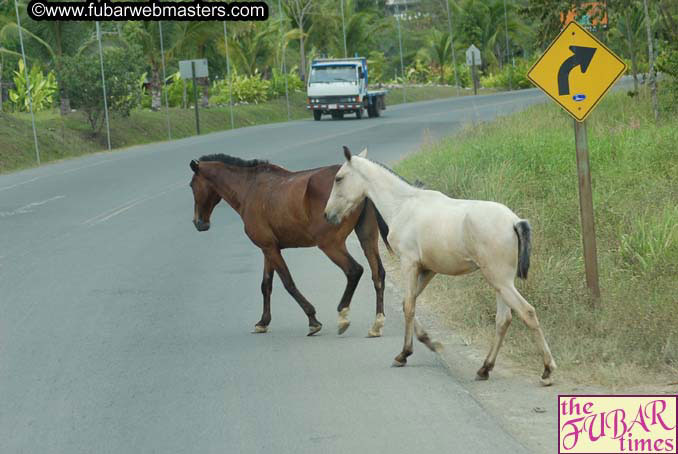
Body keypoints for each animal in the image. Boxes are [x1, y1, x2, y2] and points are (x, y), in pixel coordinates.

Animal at [189, 154, 388, 336]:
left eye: (192, 185)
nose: (199, 223)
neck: (250, 188)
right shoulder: (269, 249)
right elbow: (266, 285)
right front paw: (263, 322)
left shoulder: (270, 249)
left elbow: (288, 283)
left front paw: (313, 320)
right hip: (367, 238)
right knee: (378, 274)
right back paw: (377, 323)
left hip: (330, 245)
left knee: (354, 271)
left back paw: (343, 316)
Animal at [326, 147, 556, 384]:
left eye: (338, 178)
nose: (328, 215)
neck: (403, 206)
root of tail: (514, 222)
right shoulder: (428, 270)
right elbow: (408, 302)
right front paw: (428, 342)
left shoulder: (409, 264)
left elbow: (409, 306)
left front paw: (403, 354)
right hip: (500, 283)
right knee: (504, 320)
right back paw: (484, 368)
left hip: (500, 281)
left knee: (527, 312)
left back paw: (547, 370)